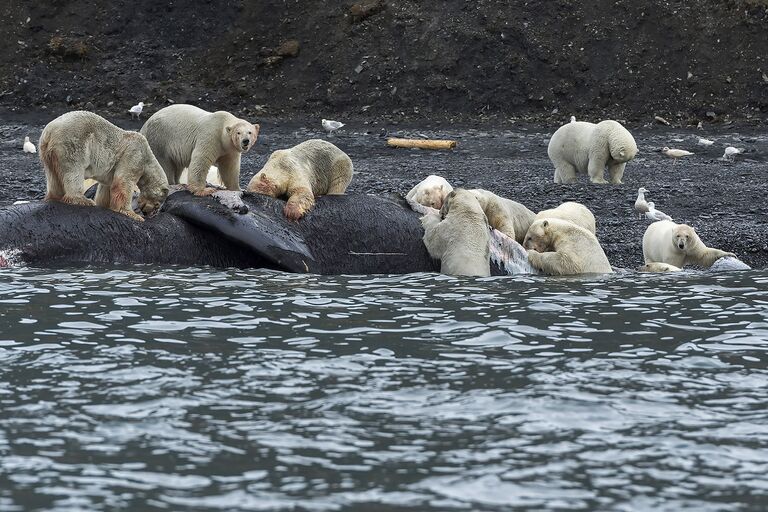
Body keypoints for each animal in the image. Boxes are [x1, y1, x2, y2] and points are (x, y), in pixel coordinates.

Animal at [39, 111, 168, 221]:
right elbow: (123, 182)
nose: (149, 214)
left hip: (47, 152)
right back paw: (82, 199)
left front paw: (105, 205)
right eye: (157, 204)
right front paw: (132, 214)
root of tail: (49, 131)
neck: (148, 157)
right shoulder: (134, 154)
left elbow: (107, 187)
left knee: (53, 176)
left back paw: (55, 197)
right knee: (74, 171)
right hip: (72, 144)